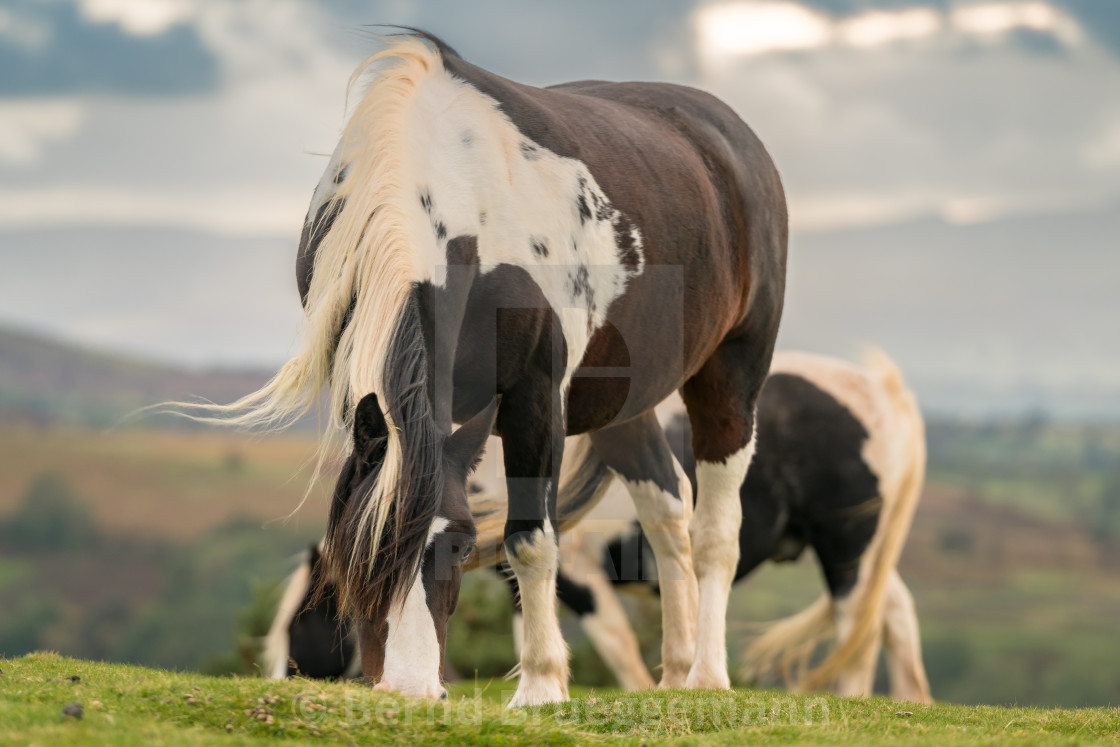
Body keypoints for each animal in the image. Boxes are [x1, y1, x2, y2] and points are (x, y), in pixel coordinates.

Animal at [197, 29, 788, 703]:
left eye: (457, 546)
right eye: (363, 554)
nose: (408, 687)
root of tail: (730, 137)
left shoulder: (536, 400)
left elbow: (528, 540)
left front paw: (541, 687)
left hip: (732, 378)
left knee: (715, 529)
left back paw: (708, 676)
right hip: (620, 407)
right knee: (668, 511)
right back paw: (675, 674)